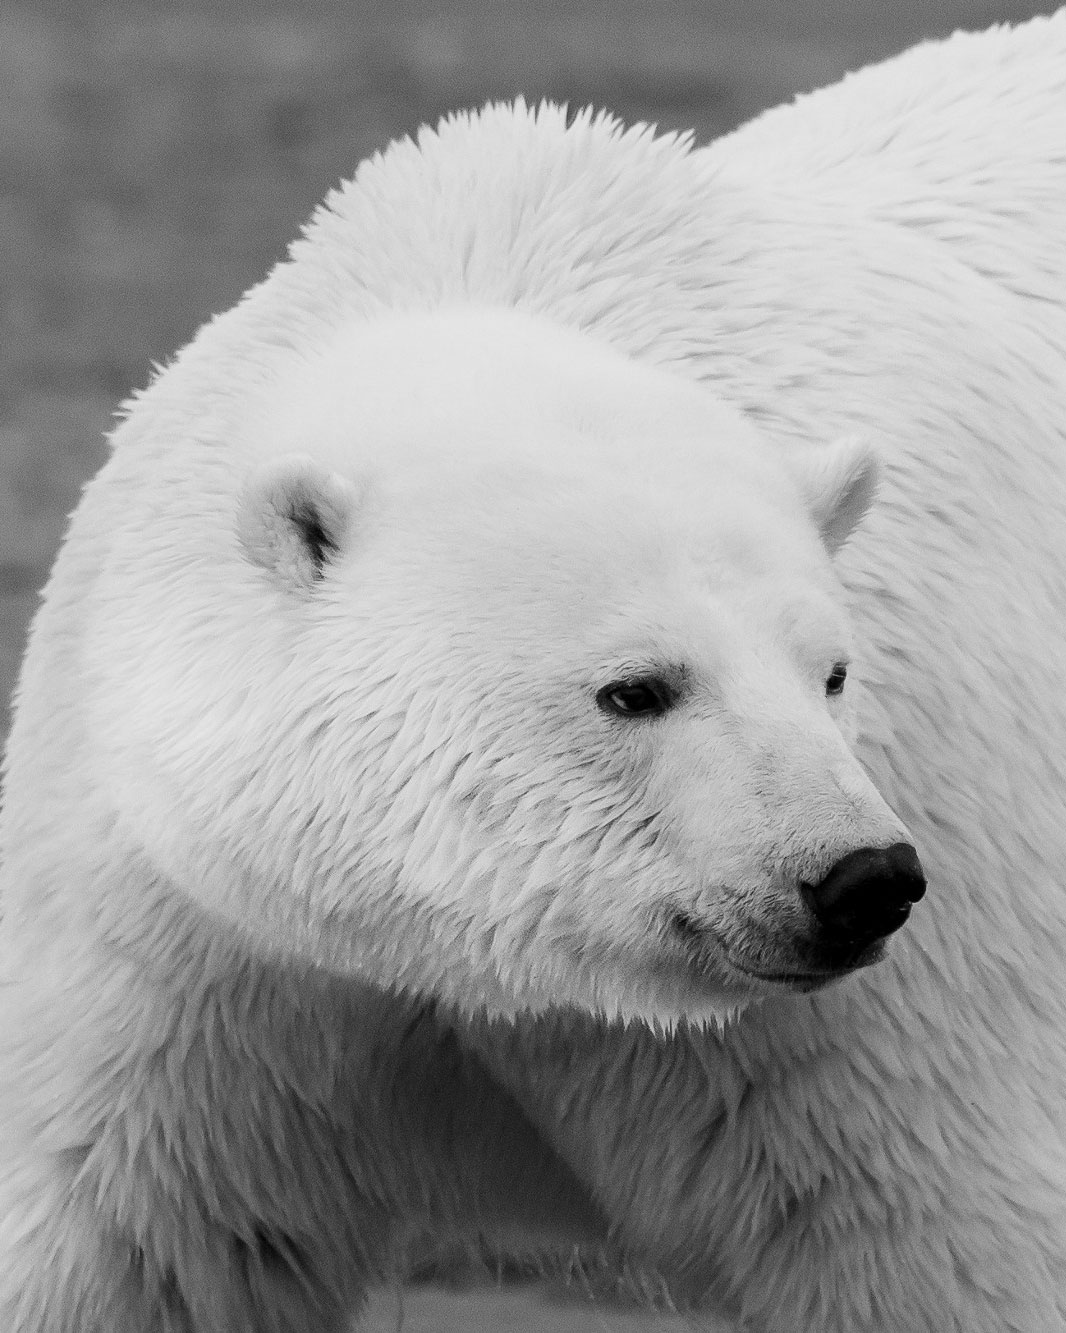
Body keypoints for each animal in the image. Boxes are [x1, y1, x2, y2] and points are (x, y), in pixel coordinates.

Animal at [3, 10, 1066, 1333]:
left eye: (832, 673)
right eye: (636, 687)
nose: (859, 878)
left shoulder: (892, 1002)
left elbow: (932, 1240)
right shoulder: (206, 946)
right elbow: (125, 1241)